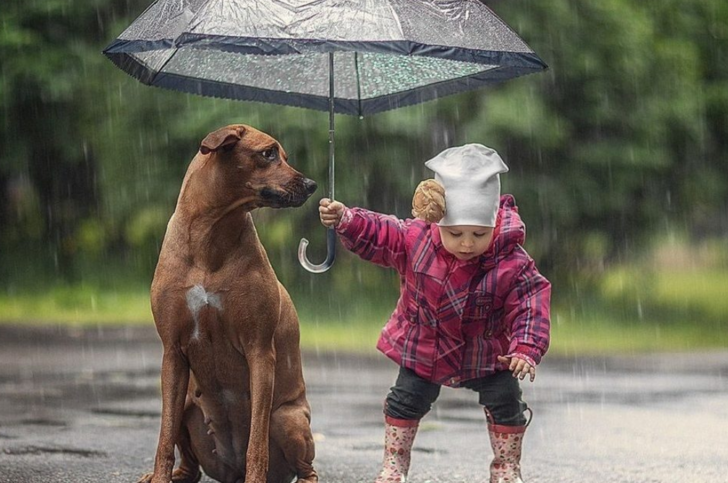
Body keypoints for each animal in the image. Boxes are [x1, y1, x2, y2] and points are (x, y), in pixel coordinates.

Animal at [138, 124, 318, 483]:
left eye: (283, 155)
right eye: (268, 153)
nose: (311, 185)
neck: (211, 233)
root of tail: (230, 473)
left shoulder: (260, 351)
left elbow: (256, 444)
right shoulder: (172, 352)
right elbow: (164, 437)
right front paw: (158, 475)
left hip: (288, 419)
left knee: (306, 469)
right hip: (188, 404)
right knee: (189, 466)